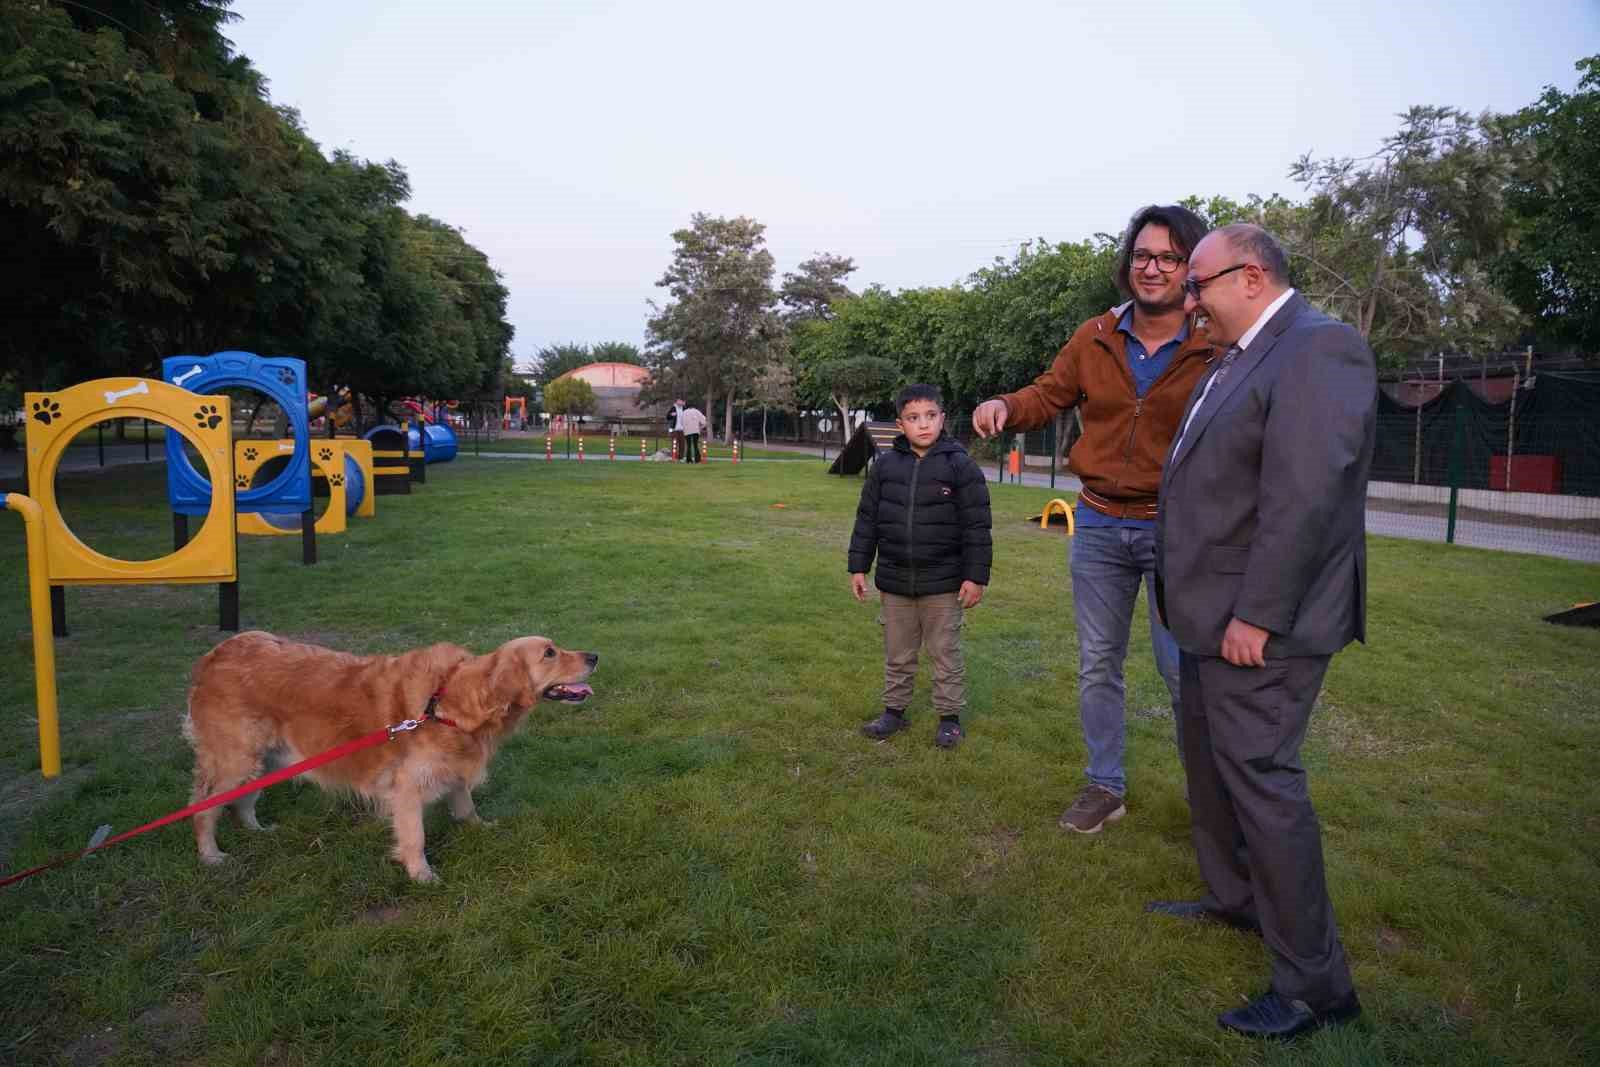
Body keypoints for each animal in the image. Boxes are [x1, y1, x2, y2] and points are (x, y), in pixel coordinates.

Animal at [181, 630, 595, 883]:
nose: (595, 655)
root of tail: (214, 655)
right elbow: (415, 837)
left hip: (263, 761)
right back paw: (210, 855)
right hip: (237, 761)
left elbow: (465, 804)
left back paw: (257, 830)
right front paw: (421, 875)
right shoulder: (408, 786)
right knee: (203, 808)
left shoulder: (451, 769)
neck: (448, 701)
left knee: (242, 801)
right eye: (549, 652)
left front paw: (480, 827)